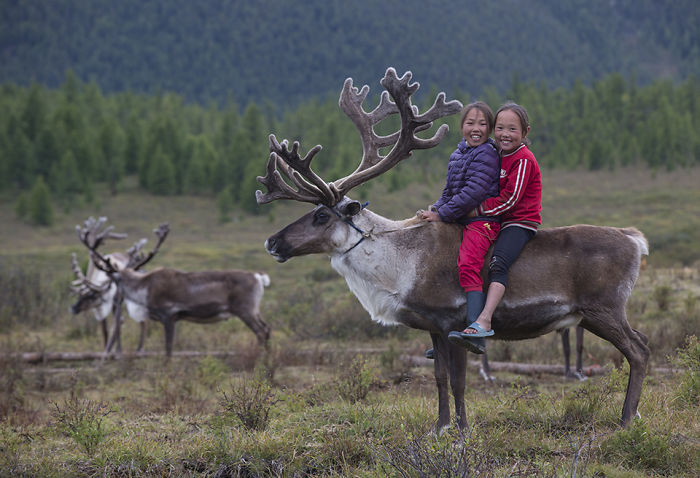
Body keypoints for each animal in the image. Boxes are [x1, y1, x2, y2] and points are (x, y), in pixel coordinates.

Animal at [75, 217, 271, 357]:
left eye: (114, 282)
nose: (115, 299)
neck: (144, 289)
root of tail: (259, 277)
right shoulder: (173, 318)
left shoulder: (169, 315)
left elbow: (168, 350)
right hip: (254, 310)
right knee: (267, 328)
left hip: (245, 309)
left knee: (261, 332)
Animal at [255, 68, 650, 430]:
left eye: (321, 215)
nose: (272, 241)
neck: (399, 264)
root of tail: (635, 238)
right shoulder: (432, 325)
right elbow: (440, 377)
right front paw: (440, 426)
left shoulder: (453, 321)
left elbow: (460, 380)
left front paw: (461, 429)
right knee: (642, 342)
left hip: (602, 308)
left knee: (639, 350)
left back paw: (627, 418)